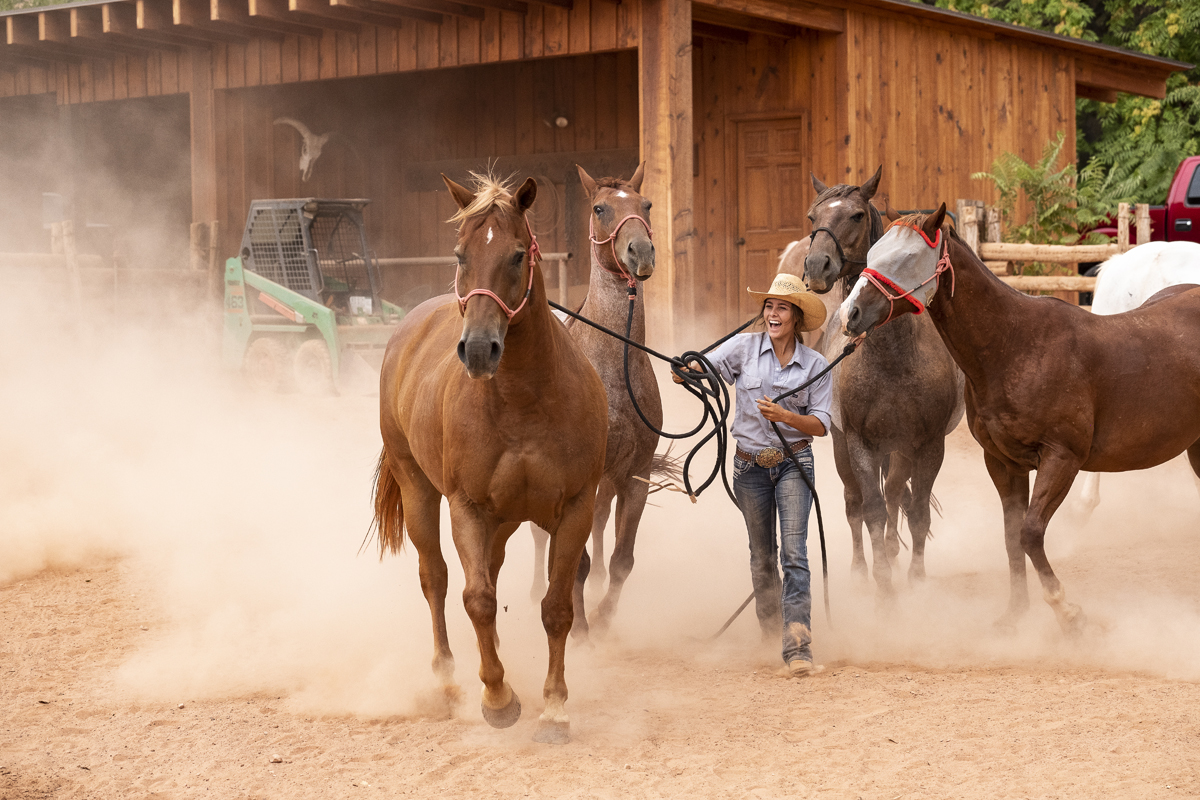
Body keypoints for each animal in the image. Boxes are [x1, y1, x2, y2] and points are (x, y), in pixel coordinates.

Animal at [372, 172, 604, 743]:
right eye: (460, 255)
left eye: (517, 255)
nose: (478, 349)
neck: (523, 401)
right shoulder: (467, 508)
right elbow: (474, 598)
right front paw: (498, 699)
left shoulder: (575, 508)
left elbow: (557, 607)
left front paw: (554, 708)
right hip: (419, 489)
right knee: (435, 578)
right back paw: (448, 677)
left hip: (504, 520)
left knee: (491, 573)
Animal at [530, 164, 662, 638]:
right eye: (600, 208)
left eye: (646, 204)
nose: (641, 251)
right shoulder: (573, 486)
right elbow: (575, 562)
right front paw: (580, 629)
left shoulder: (635, 475)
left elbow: (623, 557)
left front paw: (604, 617)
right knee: (541, 540)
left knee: (603, 524)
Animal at [801, 169, 960, 594]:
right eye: (812, 217)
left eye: (856, 215)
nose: (816, 266)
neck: (891, 357)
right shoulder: (859, 443)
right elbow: (869, 509)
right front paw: (880, 580)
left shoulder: (927, 443)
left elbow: (915, 510)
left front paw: (915, 577)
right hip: (845, 448)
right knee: (855, 503)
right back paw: (862, 568)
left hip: (900, 449)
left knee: (894, 496)